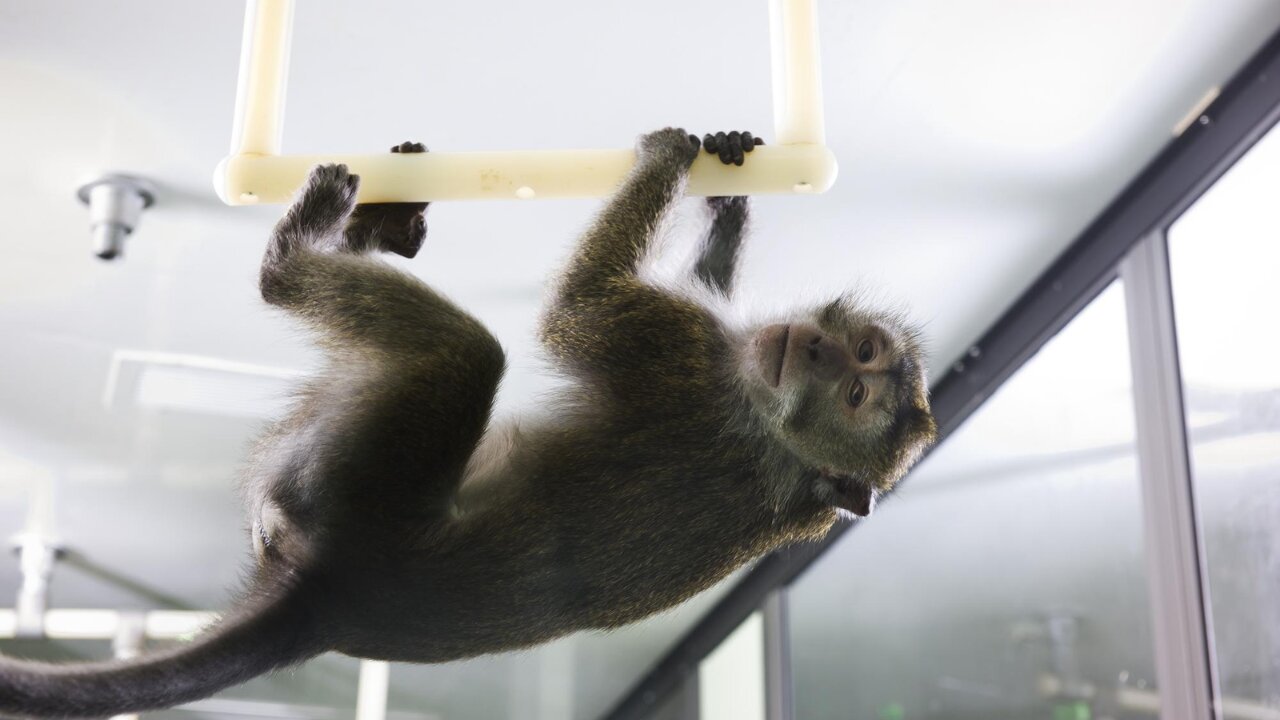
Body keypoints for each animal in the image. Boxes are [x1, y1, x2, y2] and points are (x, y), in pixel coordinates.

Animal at [0, 128, 936, 719]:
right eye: (860, 353)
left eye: (858, 396)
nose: (814, 349)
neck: (790, 447)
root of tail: (332, 601)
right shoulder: (712, 349)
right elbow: (697, 282)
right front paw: (728, 194)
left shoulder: (681, 359)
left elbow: (575, 312)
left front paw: (667, 157)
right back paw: (383, 226)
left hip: (350, 485)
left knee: (467, 354)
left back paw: (298, 251)